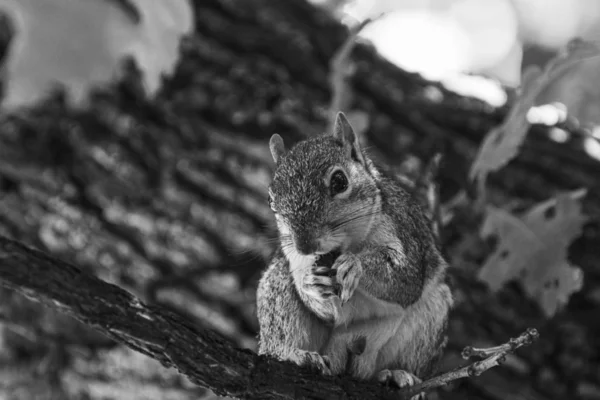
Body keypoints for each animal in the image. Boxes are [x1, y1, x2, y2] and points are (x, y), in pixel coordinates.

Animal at [255, 111, 452, 396]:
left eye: (340, 181)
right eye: (271, 199)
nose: (304, 245)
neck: (347, 244)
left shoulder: (404, 231)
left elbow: (405, 281)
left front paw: (354, 265)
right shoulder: (296, 259)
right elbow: (322, 307)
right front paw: (310, 284)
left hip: (432, 315)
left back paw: (398, 374)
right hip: (277, 290)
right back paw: (295, 354)